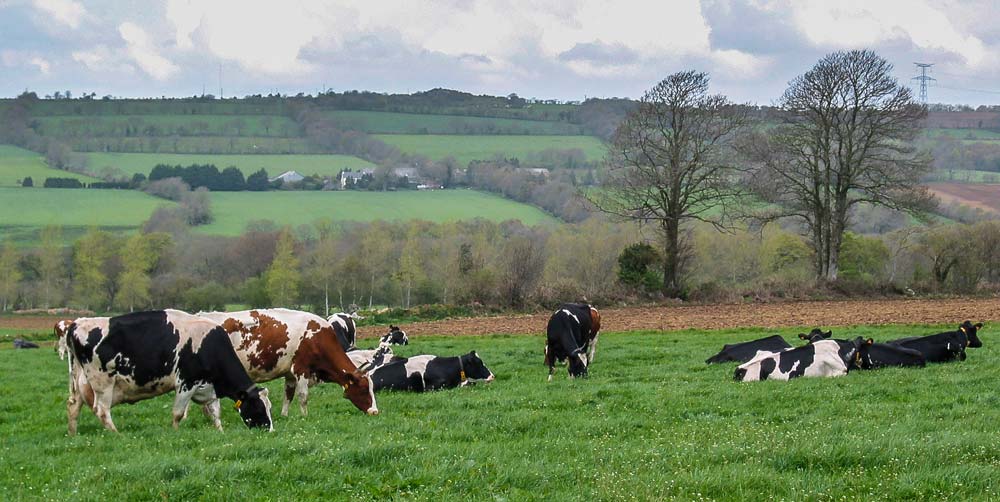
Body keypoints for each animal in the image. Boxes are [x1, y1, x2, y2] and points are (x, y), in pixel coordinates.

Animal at [63, 308, 274, 434]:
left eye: (269, 407)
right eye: (258, 407)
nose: (269, 430)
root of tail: (77, 324)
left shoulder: (209, 387)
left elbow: (215, 413)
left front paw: (220, 432)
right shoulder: (186, 383)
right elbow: (178, 413)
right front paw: (175, 433)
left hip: (79, 382)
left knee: (73, 406)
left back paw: (73, 434)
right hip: (102, 381)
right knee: (102, 410)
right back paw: (116, 434)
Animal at [197, 308, 376, 418]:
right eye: (363, 388)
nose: (375, 411)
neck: (317, 337)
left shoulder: (289, 373)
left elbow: (288, 395)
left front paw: (284, 415)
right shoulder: (301, 368)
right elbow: (303, 396)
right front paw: (305, 416)